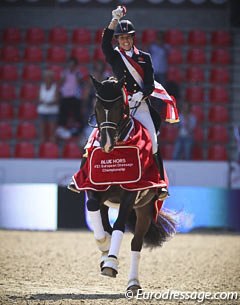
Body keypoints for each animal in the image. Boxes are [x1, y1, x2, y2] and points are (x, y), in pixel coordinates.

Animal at [69, 76, 176, 292]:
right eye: (97, 106)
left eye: (119, 106)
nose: (106, 144)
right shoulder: (93, 188)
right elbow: (95, 213)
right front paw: (104, 248)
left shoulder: (131, 193)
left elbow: (119, 225)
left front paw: (110, 263)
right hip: (107, 203)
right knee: (104, 222)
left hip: (144, 210)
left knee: (136, 243)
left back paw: (133, 283)